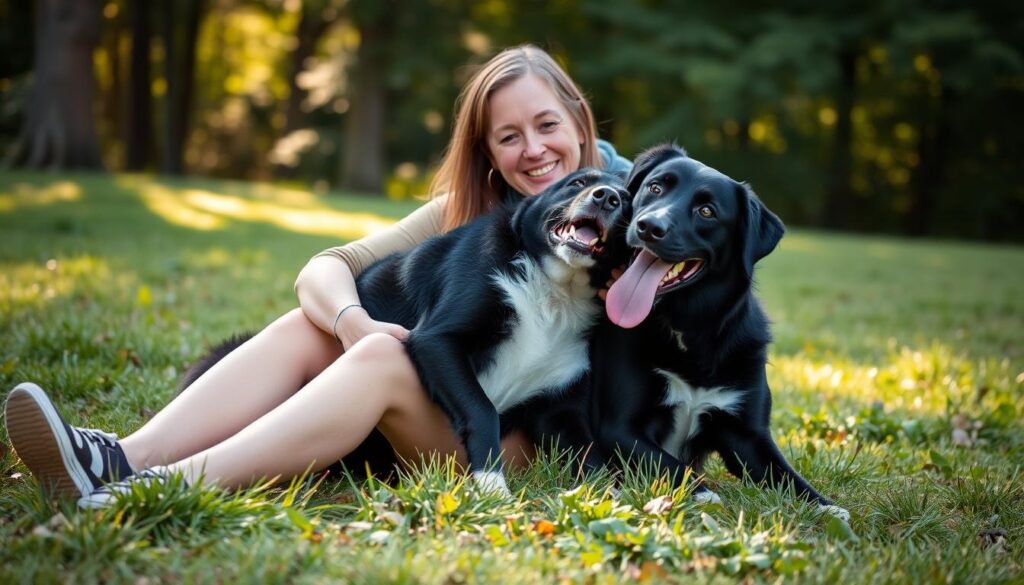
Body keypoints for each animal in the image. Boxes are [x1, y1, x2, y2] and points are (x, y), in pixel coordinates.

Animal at [184, 169, 630, 493]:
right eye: (579, 182)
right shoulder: (437, 339)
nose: (607, 197)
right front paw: (491, 486)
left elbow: (590, 454)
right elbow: (483, 409)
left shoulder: (559, 407)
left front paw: (609, 498)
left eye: (626, 199)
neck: (556, 291)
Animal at [593, 145, 847, 516]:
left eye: (706, 211)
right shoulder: (618, 427)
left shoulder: (748, 435)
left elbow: (788, 475)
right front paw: (701, 493)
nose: (649, 226)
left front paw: (827, 508)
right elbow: (669, 463)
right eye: (655, 187)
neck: (689, 329)